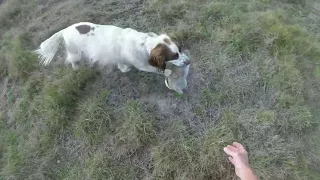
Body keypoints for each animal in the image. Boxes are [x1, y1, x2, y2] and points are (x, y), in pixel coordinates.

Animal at [34, 22, 185, 74]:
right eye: (174, 56)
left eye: (180, 50)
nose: (188, 62)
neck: (144, 43)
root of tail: (64, 29)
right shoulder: (142, 65)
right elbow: (157, 69)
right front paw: (168, 72)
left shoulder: (117, 56)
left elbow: (120, 63)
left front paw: (123, 69)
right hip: (75, 52)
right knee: (72, 61)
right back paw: (77, 69)